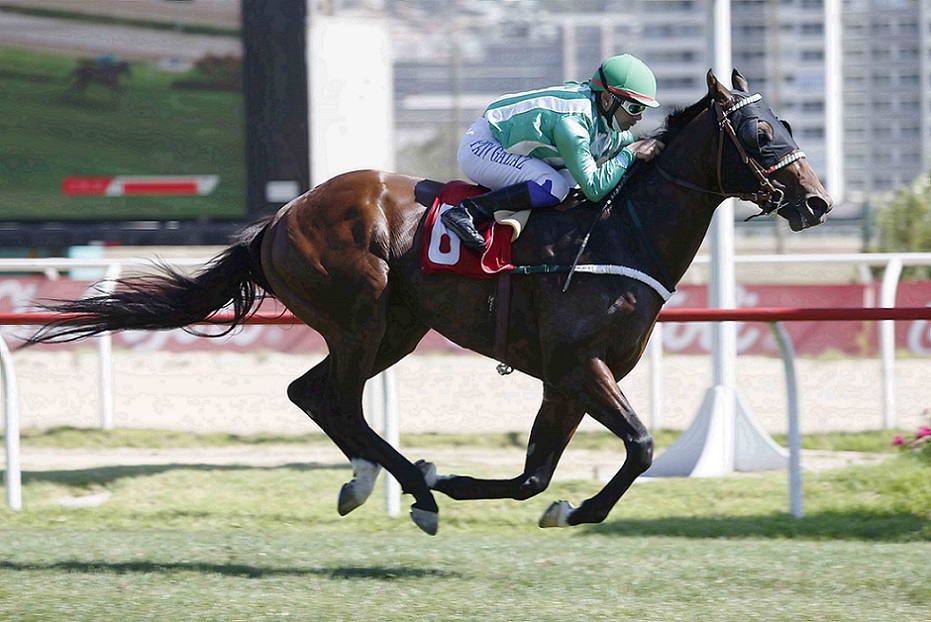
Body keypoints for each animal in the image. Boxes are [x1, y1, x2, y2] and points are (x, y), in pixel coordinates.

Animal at [27, 70, 832, 535]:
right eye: (761, 132)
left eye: (791, 125)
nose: (817, 202)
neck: (618, 230)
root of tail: (279, 219)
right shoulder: (581, 365)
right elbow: (638, 445)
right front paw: (545, 501)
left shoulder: (565, 379)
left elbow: (538, 473)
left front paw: (557, 504)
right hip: (361, 313)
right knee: (334, 397)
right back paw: (411, 487)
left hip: (397, 327)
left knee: (312, 394)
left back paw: (382, 482)